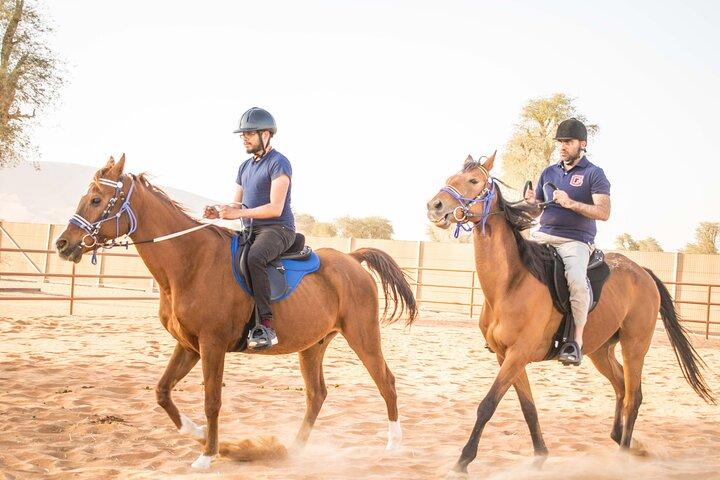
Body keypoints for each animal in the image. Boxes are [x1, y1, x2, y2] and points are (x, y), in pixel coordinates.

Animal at [55, 155, 417, 469]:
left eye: (97, 200)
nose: (63, 244)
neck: (190, 261)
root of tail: (352, 260)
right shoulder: (189, 346)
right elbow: (162, 392)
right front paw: (198, 434)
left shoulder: (212, 345)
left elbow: (212, 400)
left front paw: (208, 455)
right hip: (313, 345)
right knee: (317, 394)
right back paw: (294, 450)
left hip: (362, 335)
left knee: (386, 381)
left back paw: (394, 445)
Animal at [426, 152, 715, 477]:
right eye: (451, 179)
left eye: (474, 181)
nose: (435, 206)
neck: (511, 282)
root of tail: (643, 272)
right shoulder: (506, 356)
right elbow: (528, 408)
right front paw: (540, 456)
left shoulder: (517, 354)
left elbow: (487, 405)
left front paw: (463, 462)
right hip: (600, 350)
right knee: (621, 385)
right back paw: (624, 441)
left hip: (635, 345)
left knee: (634, 396)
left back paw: (624, 455)